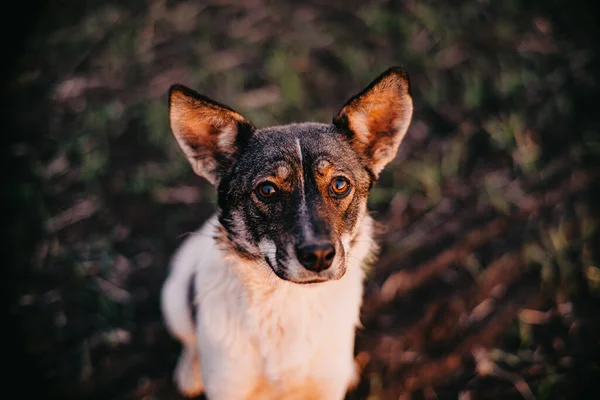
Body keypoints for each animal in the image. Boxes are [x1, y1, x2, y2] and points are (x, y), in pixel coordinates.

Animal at [159, 67, 412, 398]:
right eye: (267, 190)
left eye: (340, 184)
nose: (318, 256)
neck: (289, 300)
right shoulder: (228, 386)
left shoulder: (325, 387)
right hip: (173, 300)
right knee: (188, 339)